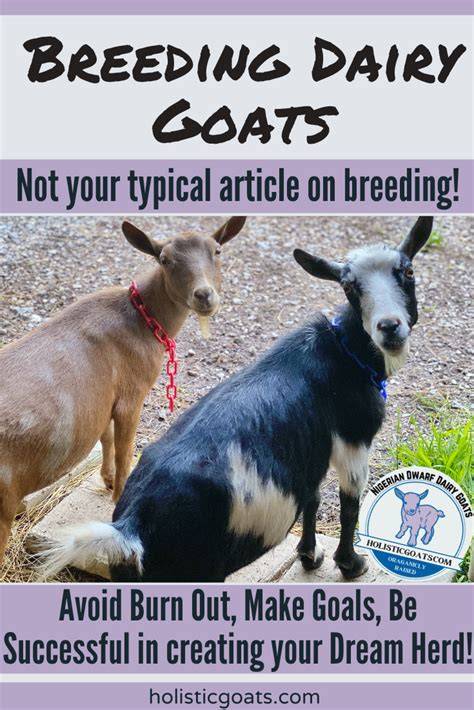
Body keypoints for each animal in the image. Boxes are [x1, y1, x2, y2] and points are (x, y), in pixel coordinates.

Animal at [0, 216, 246, 562]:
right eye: (164, 259)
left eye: (217, 250)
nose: (204, 296)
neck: (143, 321)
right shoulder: (133, 392)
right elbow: (125, 446)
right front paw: (118, 495)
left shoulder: (106, 396)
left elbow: (105, 435)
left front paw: (106, 479)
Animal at [39, 217, 433, 582]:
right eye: (350, 287)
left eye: (408, 271)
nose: (389, 326)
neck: (343, 352)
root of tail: (131, 527)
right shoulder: (355, 439)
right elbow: (349, 505)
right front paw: (351, 564)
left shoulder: (309, 452)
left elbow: (312, 498)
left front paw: (309, 556)